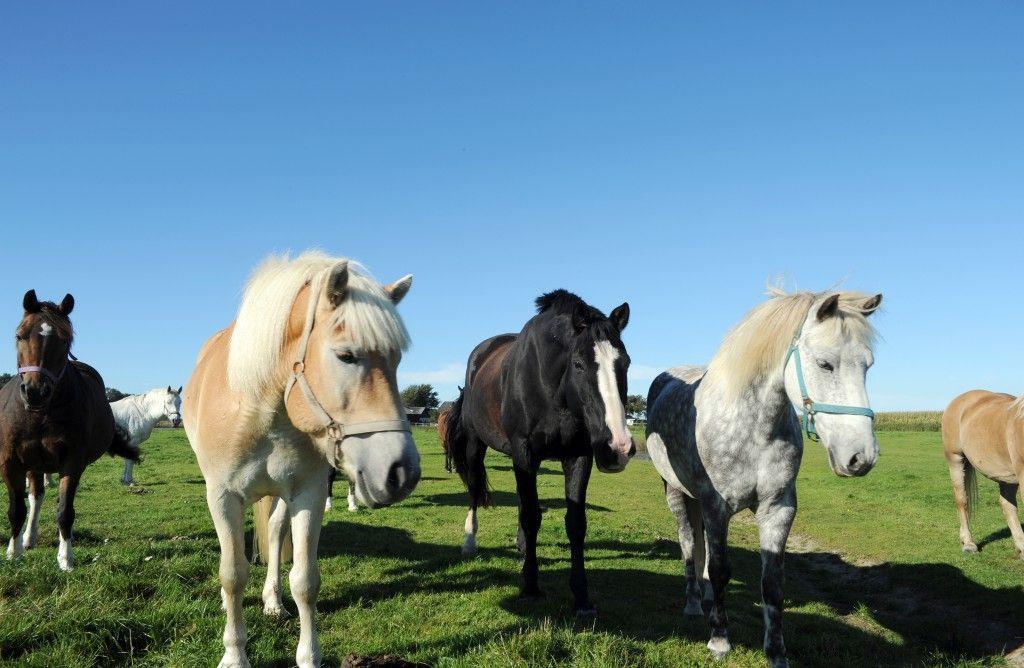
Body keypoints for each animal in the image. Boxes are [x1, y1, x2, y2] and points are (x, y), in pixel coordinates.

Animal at [1, 290, 139, 570]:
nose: (35, 391)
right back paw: (28, 539)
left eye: (64, 340)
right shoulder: (10, 462)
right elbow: (17, 509)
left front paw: (65, 558)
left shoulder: (72, 462)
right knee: (36, 497)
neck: (40, 414)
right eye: (20, 335)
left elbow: (65, 511)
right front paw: (13, 552)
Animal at [183, 251, 420, 668]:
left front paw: (308, 655)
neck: (262, 412)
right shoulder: (223, 497)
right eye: (346, 355)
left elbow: (305, 581)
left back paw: (273, 602)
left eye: (396, 360)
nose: (401, 472)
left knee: (276, 531)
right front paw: (235, 654)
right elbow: (233, 575)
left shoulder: (308, 495)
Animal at [443, 289, 633, 617]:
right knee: (475, 488)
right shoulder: (525, 453)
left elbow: (574, 523)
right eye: (579, 364)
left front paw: (581, 596)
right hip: (475, 446)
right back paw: (469, 542)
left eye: (627, 363)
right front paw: (530, 587)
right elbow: (532, 516)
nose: (618, 447)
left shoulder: (578, 456)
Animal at [646, 288, 882, 668]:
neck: (755, 428)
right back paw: (695, 604)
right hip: (676, 493)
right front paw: (719, 640)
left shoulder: (778, 509)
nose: (861, 458)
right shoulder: (717, 508)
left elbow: (772, 584)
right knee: (688, 544)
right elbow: (721, 569)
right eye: (825, 364)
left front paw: (776, 653)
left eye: (868, 365)